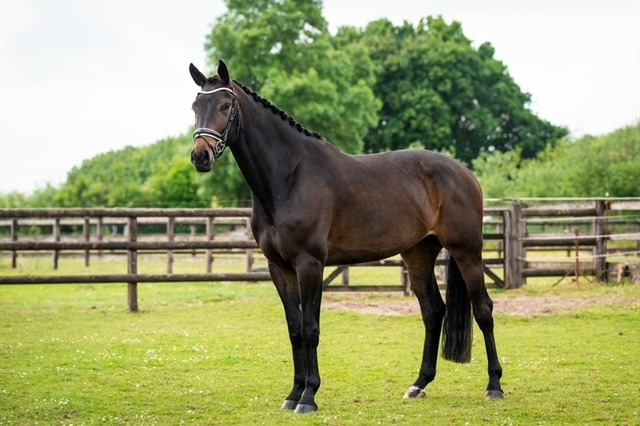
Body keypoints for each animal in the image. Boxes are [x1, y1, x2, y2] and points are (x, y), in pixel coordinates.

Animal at [188, 60, 504, 414]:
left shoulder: (310, 264)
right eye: (195, 106)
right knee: (433, 311)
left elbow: (310, 329)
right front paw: (293, 394)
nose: (200, 156)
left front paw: (309, 397)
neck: (289, 177)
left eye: (225, 106)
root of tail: (465, 174)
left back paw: (494, 386)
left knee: (483, 310)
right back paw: (419, 384)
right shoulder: (279, 268)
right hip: (419, 254)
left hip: (467, 251)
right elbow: (294, 329)